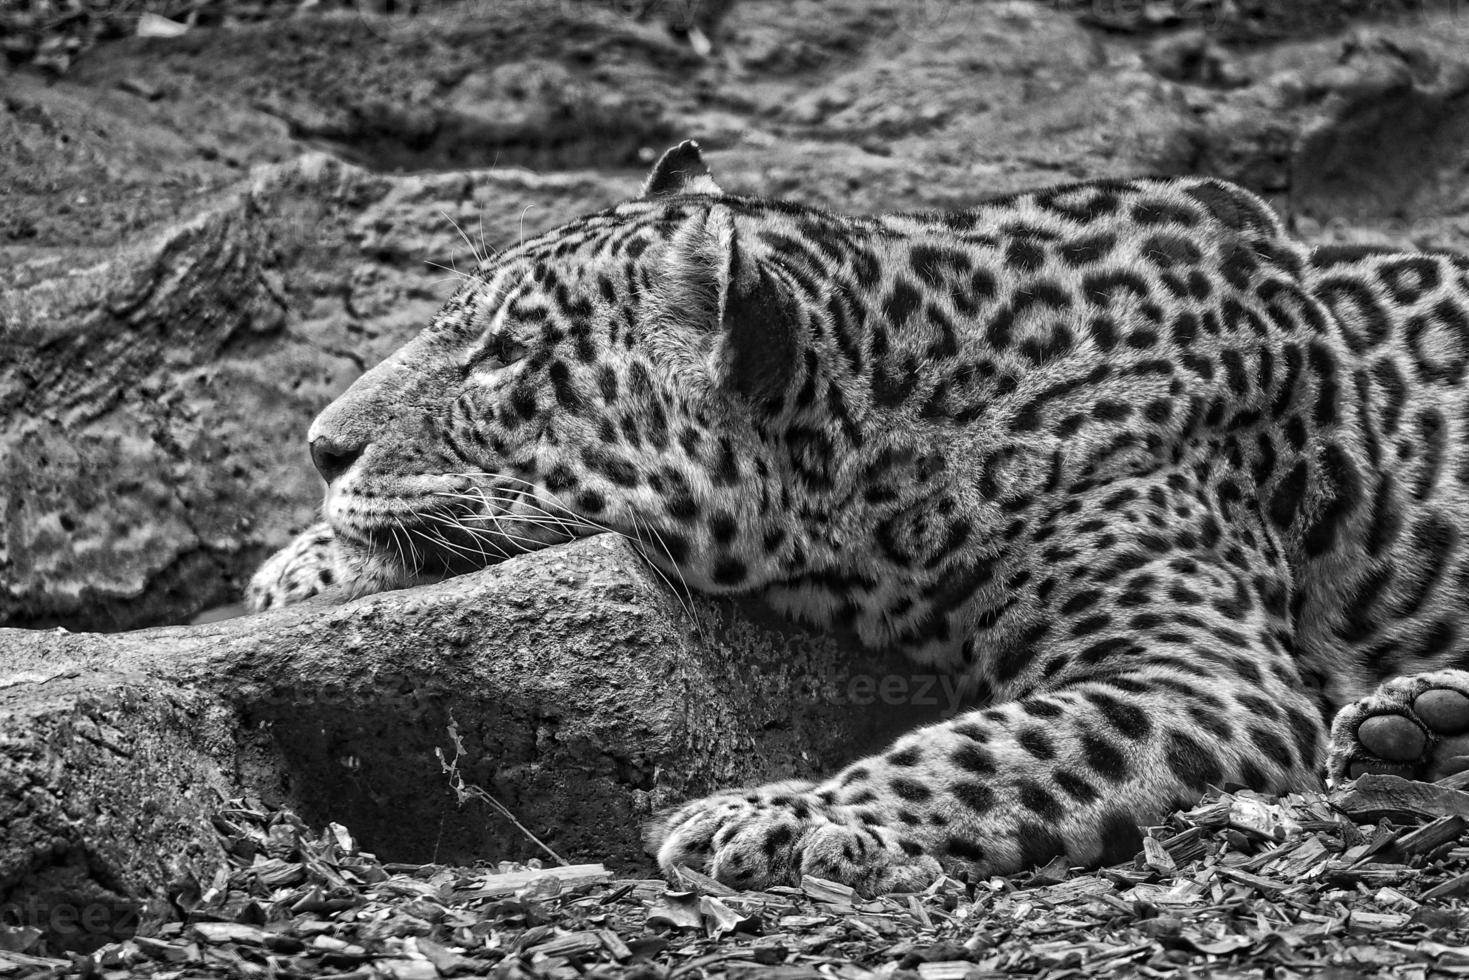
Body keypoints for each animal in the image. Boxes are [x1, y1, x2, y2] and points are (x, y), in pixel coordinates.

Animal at [246, 139, 1469, 899]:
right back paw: (1415, 724)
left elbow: (993, 745)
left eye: (503, 354)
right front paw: (301, 562)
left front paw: (780, 817)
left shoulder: (1206, 672)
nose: (319, 444)